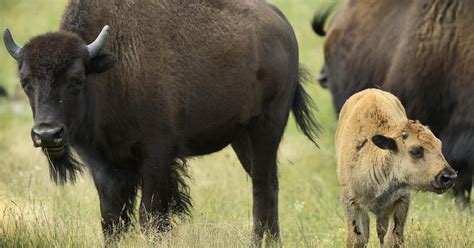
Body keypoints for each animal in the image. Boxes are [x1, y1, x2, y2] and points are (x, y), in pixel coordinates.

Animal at [3, 0, 316, 244]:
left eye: (76, 79)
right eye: (25, 82)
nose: (47, 134)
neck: (109, 71)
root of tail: (282, 25)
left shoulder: (156, 155)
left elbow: (151, 216)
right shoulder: (103, 163)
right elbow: (112, 220)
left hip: (267, 127)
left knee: (263, 186)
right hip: (241, 138)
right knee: (266, 184)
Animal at [336, 88, 458, 246]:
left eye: (439, 145)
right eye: (415, 151)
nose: (449, 176)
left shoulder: (401, 200)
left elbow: (393, 238)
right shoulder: (350, 201)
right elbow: (358, 239)